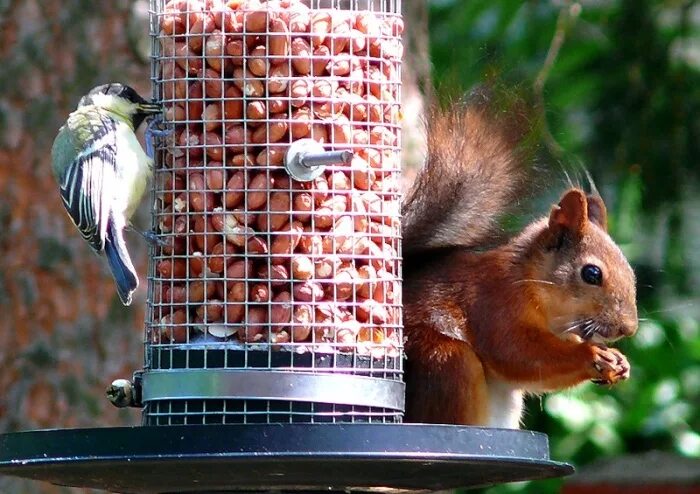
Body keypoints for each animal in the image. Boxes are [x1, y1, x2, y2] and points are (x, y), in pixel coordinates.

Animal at [402, 95, 636, 428]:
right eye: (592, 273)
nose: (628, 329)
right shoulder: (493, 305)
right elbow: (517, 354)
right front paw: (591, 356)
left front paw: (619, 361)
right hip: (445, 362)